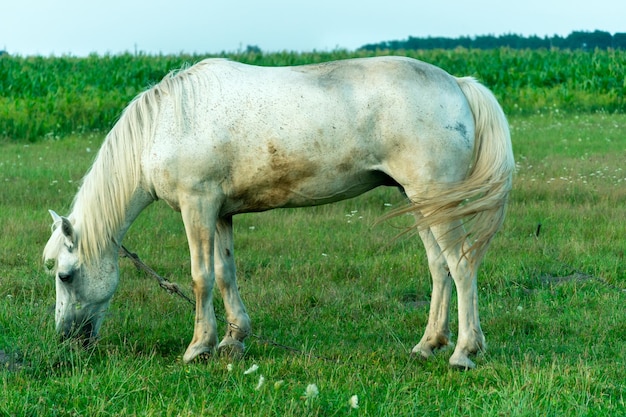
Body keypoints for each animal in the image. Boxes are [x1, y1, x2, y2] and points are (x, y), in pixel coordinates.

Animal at [42, 55, 512, 368]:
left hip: (435, 198)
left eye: (65, 275)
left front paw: (199, 347)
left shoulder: (198, 206)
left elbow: (201, 277)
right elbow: (226, 274)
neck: (168, 122)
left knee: (461, 264)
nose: (66, 339)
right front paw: (233, 340)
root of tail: (458, 84)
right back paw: (428, 344)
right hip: (420, 202)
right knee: (439, 267)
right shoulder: (221, 213)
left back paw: (463, 351)